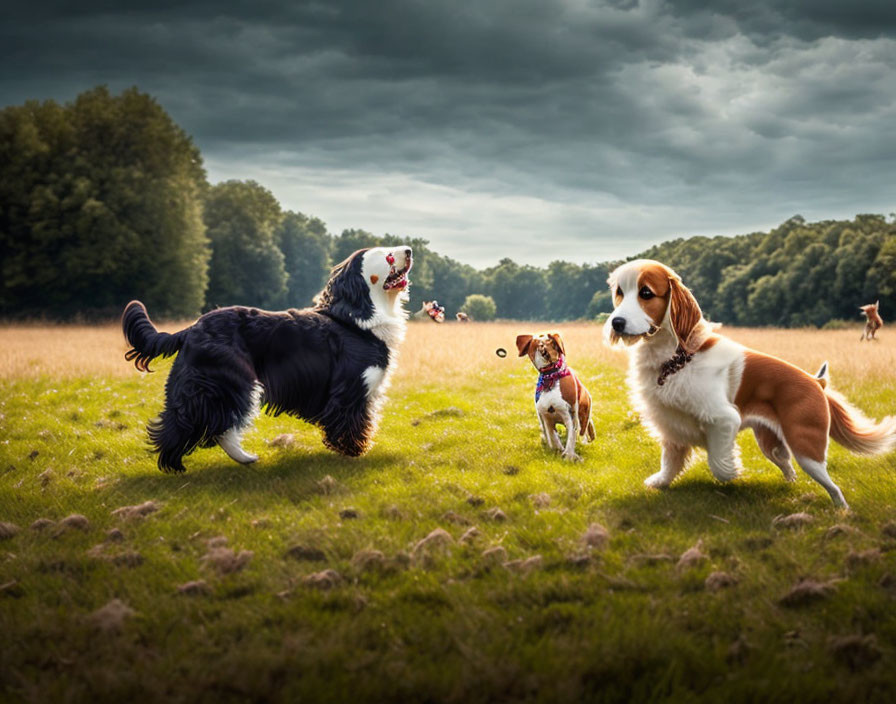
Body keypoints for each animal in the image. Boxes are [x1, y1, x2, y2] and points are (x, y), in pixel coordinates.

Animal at [121, 248, 412, 472]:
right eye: (385, 254)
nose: (409, 250)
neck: (357, 320)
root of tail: (192, 327)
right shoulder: (352, 389)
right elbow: (352, 423)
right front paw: (354, 452)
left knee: (189, 421)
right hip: (232, 382)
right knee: (200, 424)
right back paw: (177, 464)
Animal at [520, 332, 596, 462]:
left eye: (549, 342)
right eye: (537, 343)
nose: (543, 348)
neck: (551, 376)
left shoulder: (570, 416)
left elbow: (571, 438)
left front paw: (569, 456)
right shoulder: (546, 417)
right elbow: (552, 436)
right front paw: (557, 448)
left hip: (582, 414)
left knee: (584, 428)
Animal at [600, 258, 896, 506]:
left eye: (646, 293)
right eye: (620, 292)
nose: (616, 323)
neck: (675, 359)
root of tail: (816, 382)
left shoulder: (723, 418)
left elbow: (718, 463)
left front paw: (732, 472)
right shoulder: (671, 425)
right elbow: (670, 461)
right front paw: (661, 481)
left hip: (806, 448)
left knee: (833, 487)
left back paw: (841, 510)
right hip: (770, 444)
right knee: (787, 464)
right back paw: (791, 485)